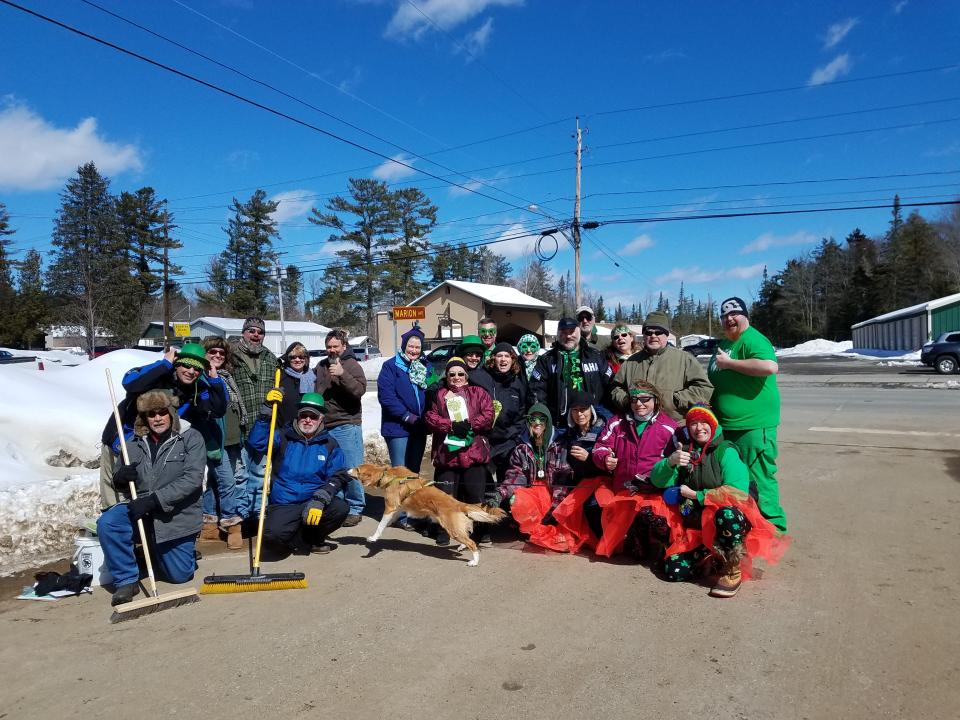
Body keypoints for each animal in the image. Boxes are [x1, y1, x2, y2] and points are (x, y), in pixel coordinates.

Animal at [348, 462, 506, 568]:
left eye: (357, 469)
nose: (346, 470)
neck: (387, 475)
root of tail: (458, 504)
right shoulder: (398, 508)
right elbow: (388, 521)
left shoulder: (390, 507)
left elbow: (380, 525)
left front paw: (373, 538)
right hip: (456, 529)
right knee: (467, 535)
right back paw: (462, 546)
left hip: (452, 528)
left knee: (472, 543)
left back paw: (474, 561)